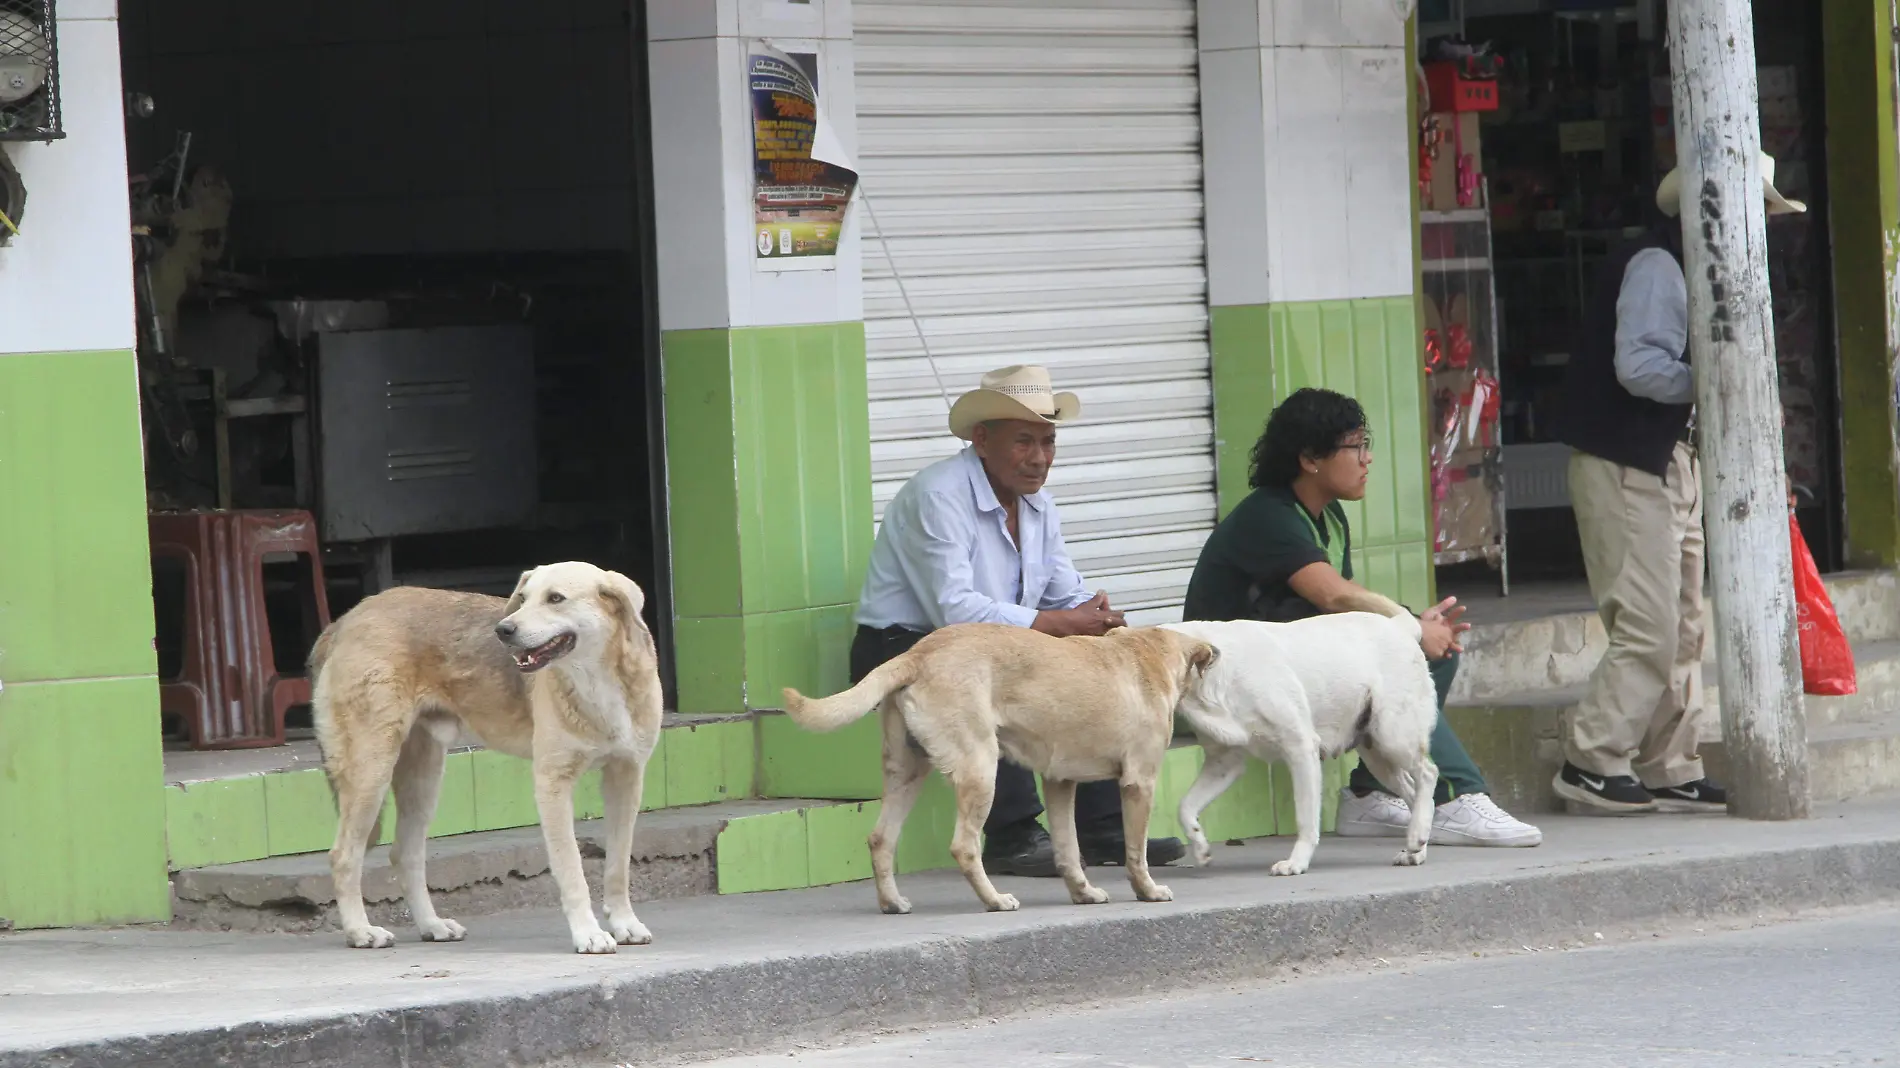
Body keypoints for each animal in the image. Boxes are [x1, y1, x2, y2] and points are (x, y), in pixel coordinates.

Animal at [307, 562, 665, 950]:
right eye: (522, 598)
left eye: (556, 598)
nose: (503, 630)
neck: (597, 682)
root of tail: (346, 619)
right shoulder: (553, 783)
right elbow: (571, 867)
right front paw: (588, 933)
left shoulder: (627, 778)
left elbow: (618, 865)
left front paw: (624, 923)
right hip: (371, 770)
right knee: (343, 855)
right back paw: (360, 931)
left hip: (423, 779)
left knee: (404, 854)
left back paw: (431, 925)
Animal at [782, 619, 1216, 912]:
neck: (1149, 650)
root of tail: (916, 654)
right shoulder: (1139, 782)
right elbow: (1135, 850)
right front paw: (1147, 891)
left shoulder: (1060, 782)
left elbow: (1068, 849)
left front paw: (1082, 892)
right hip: (980, 768)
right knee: (964, 846)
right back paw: (993, 899)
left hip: (907, 771)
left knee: (880, 839)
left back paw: (892, 902)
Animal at [1155, 608, 1436, 874]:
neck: (1213, 674)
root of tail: (1400, 625)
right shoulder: (1223, 763)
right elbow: (1185, 806)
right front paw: (1200, 847)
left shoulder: (1301, 748)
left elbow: (1306, 820)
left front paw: (1296, 863)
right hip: (1378, 756)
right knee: (1414, 793)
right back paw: (1416, 848)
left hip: (1394, 737)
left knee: (1428, 774)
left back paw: (1416, 836)